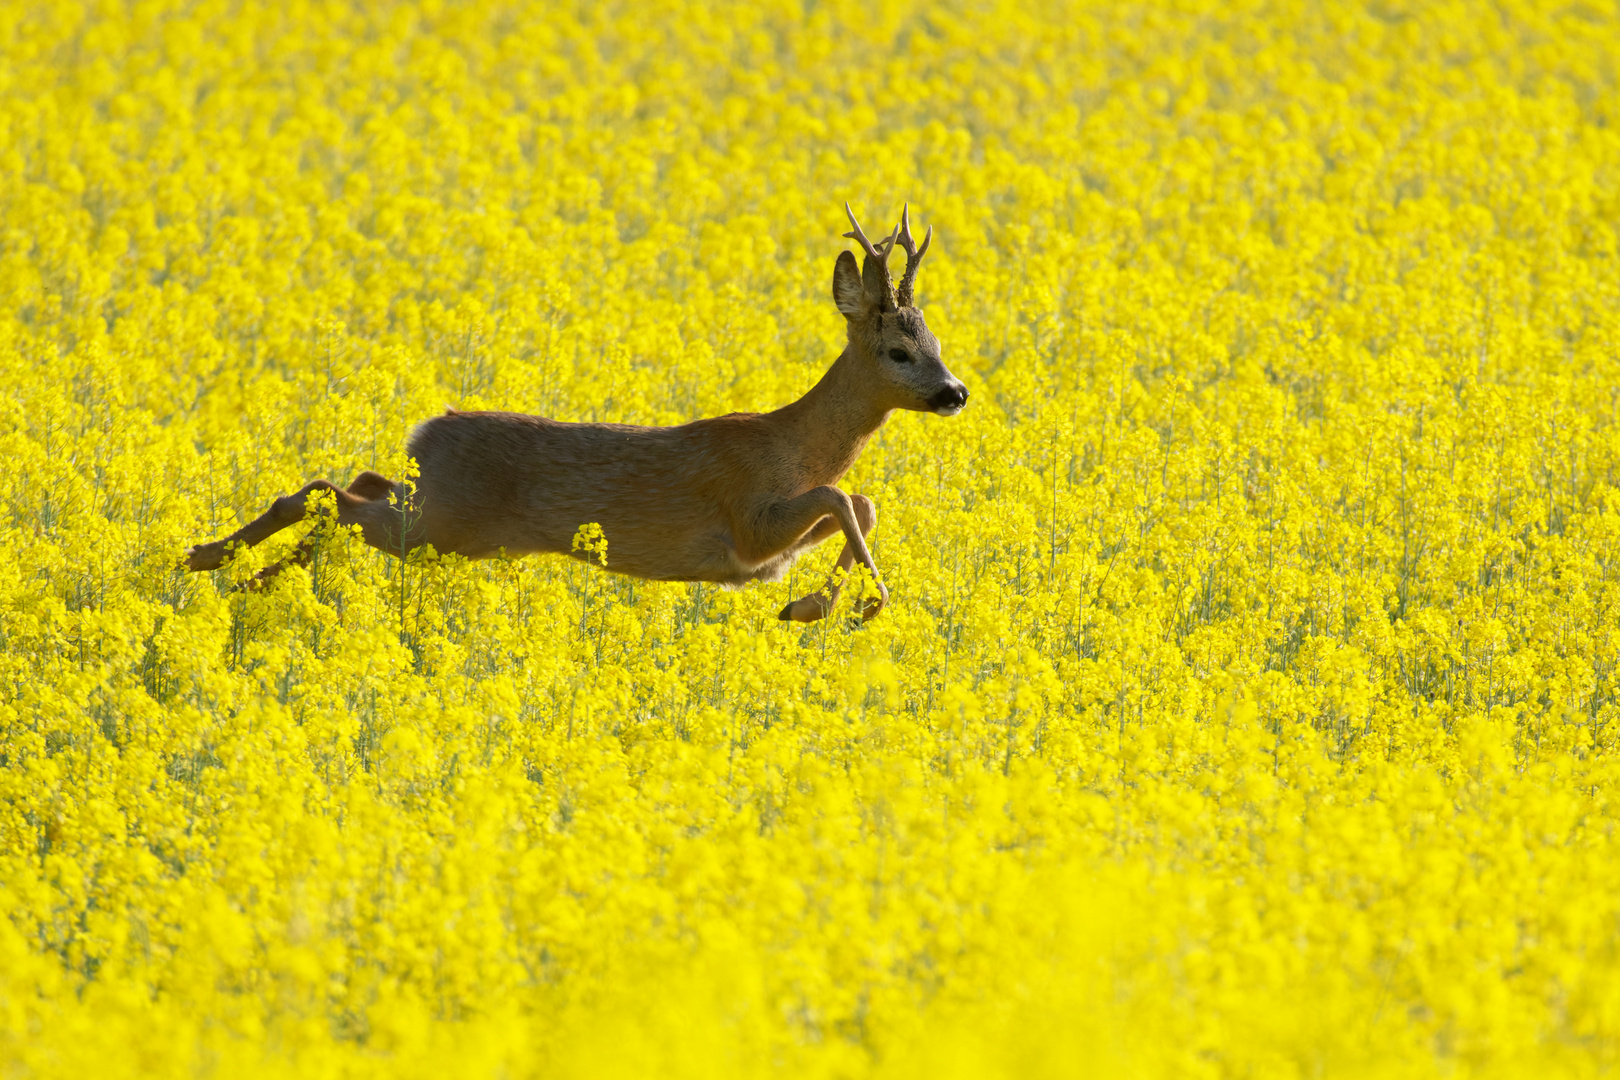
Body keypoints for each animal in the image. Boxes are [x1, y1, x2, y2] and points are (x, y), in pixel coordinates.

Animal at [189, 204, 972, 625]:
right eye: (900, 350)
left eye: (937, 343)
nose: (956, 391)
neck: (796, 444)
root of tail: (428, 428)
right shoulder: (747, 524)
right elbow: (846, 497)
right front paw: (834, 607)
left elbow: (860, 502)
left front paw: (812, 607)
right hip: (443, 524)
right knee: (327, 491)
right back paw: (208, 559)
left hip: (436, 514)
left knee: (357, 482)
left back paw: (252, 580)